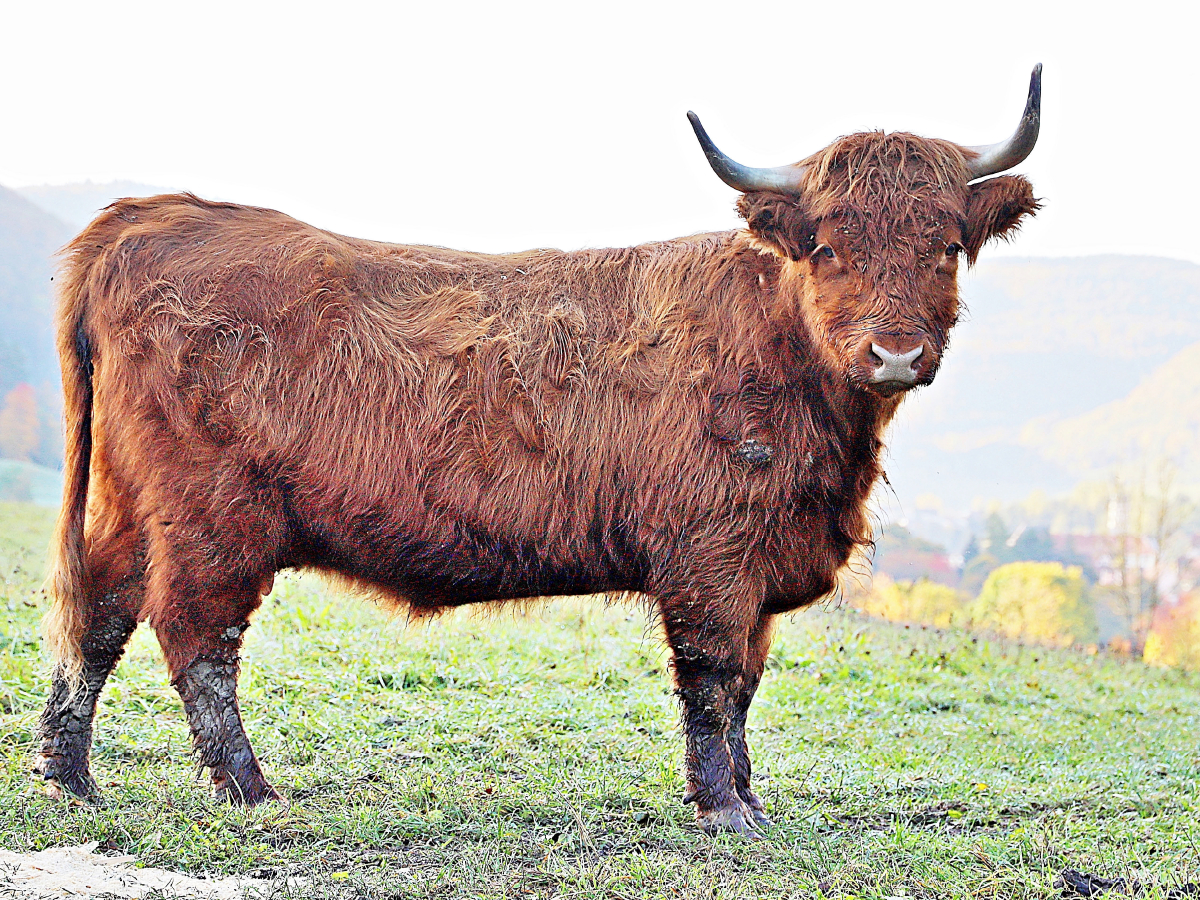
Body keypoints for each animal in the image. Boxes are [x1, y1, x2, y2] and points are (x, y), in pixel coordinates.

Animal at [30, 65, 1041, 840]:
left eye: (947, 245)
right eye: (828, 247)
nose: (895, 352)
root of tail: (149, 215)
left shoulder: (755, 568)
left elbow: (748, 685)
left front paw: (752, 800)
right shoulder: (712, 558)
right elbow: (714, 682)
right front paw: (725, 811)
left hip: (131, 503)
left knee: (101, 610)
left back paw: (69, 775)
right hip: (213, 517)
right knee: (195, 635)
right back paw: (249, 788)